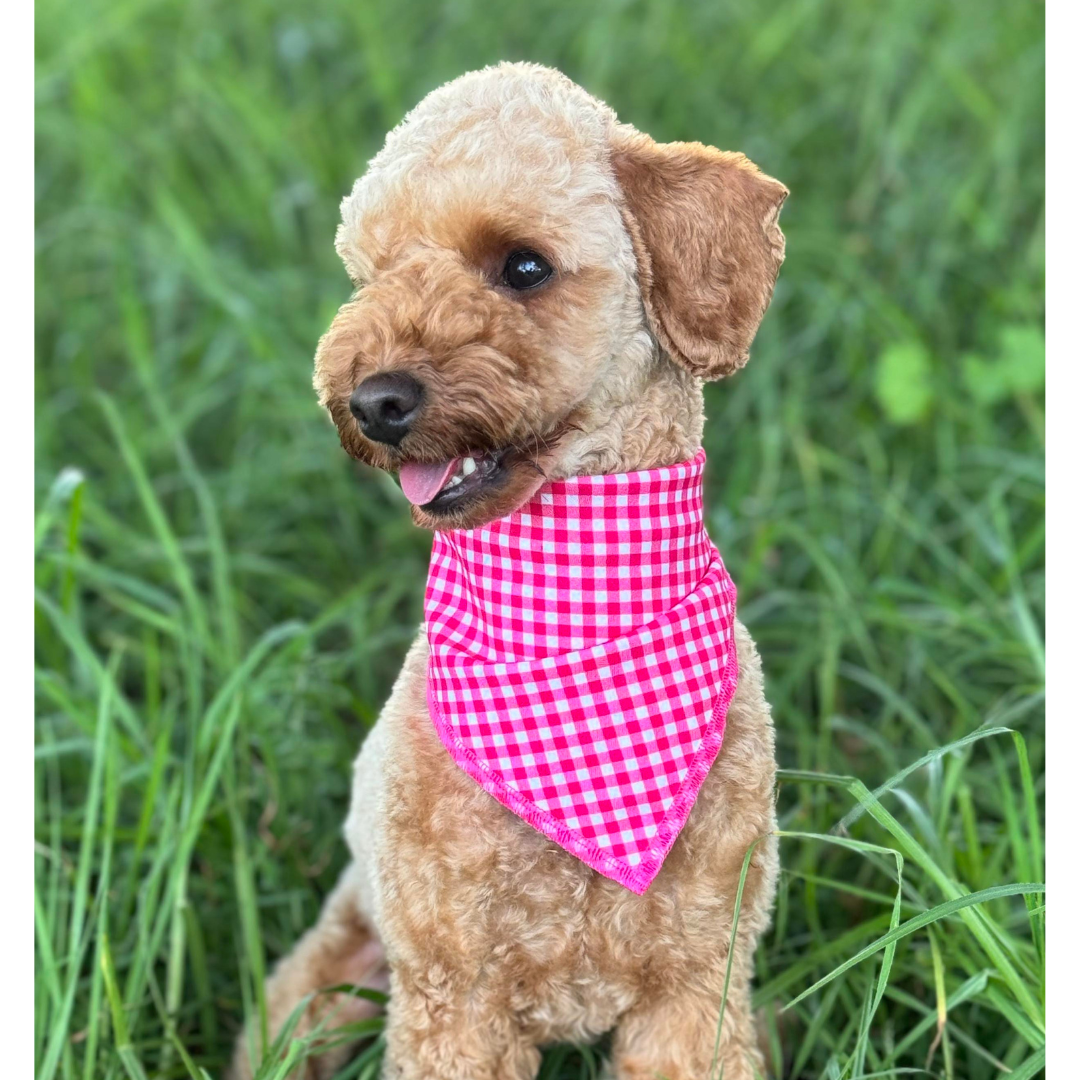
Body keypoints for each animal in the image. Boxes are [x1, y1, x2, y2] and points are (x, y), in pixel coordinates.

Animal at [236, 63, 790, 1080]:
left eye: (524, 266)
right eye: (372, 274)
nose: (372, 400)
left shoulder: (697, 984)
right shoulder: (453, 1002)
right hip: (338, 973)